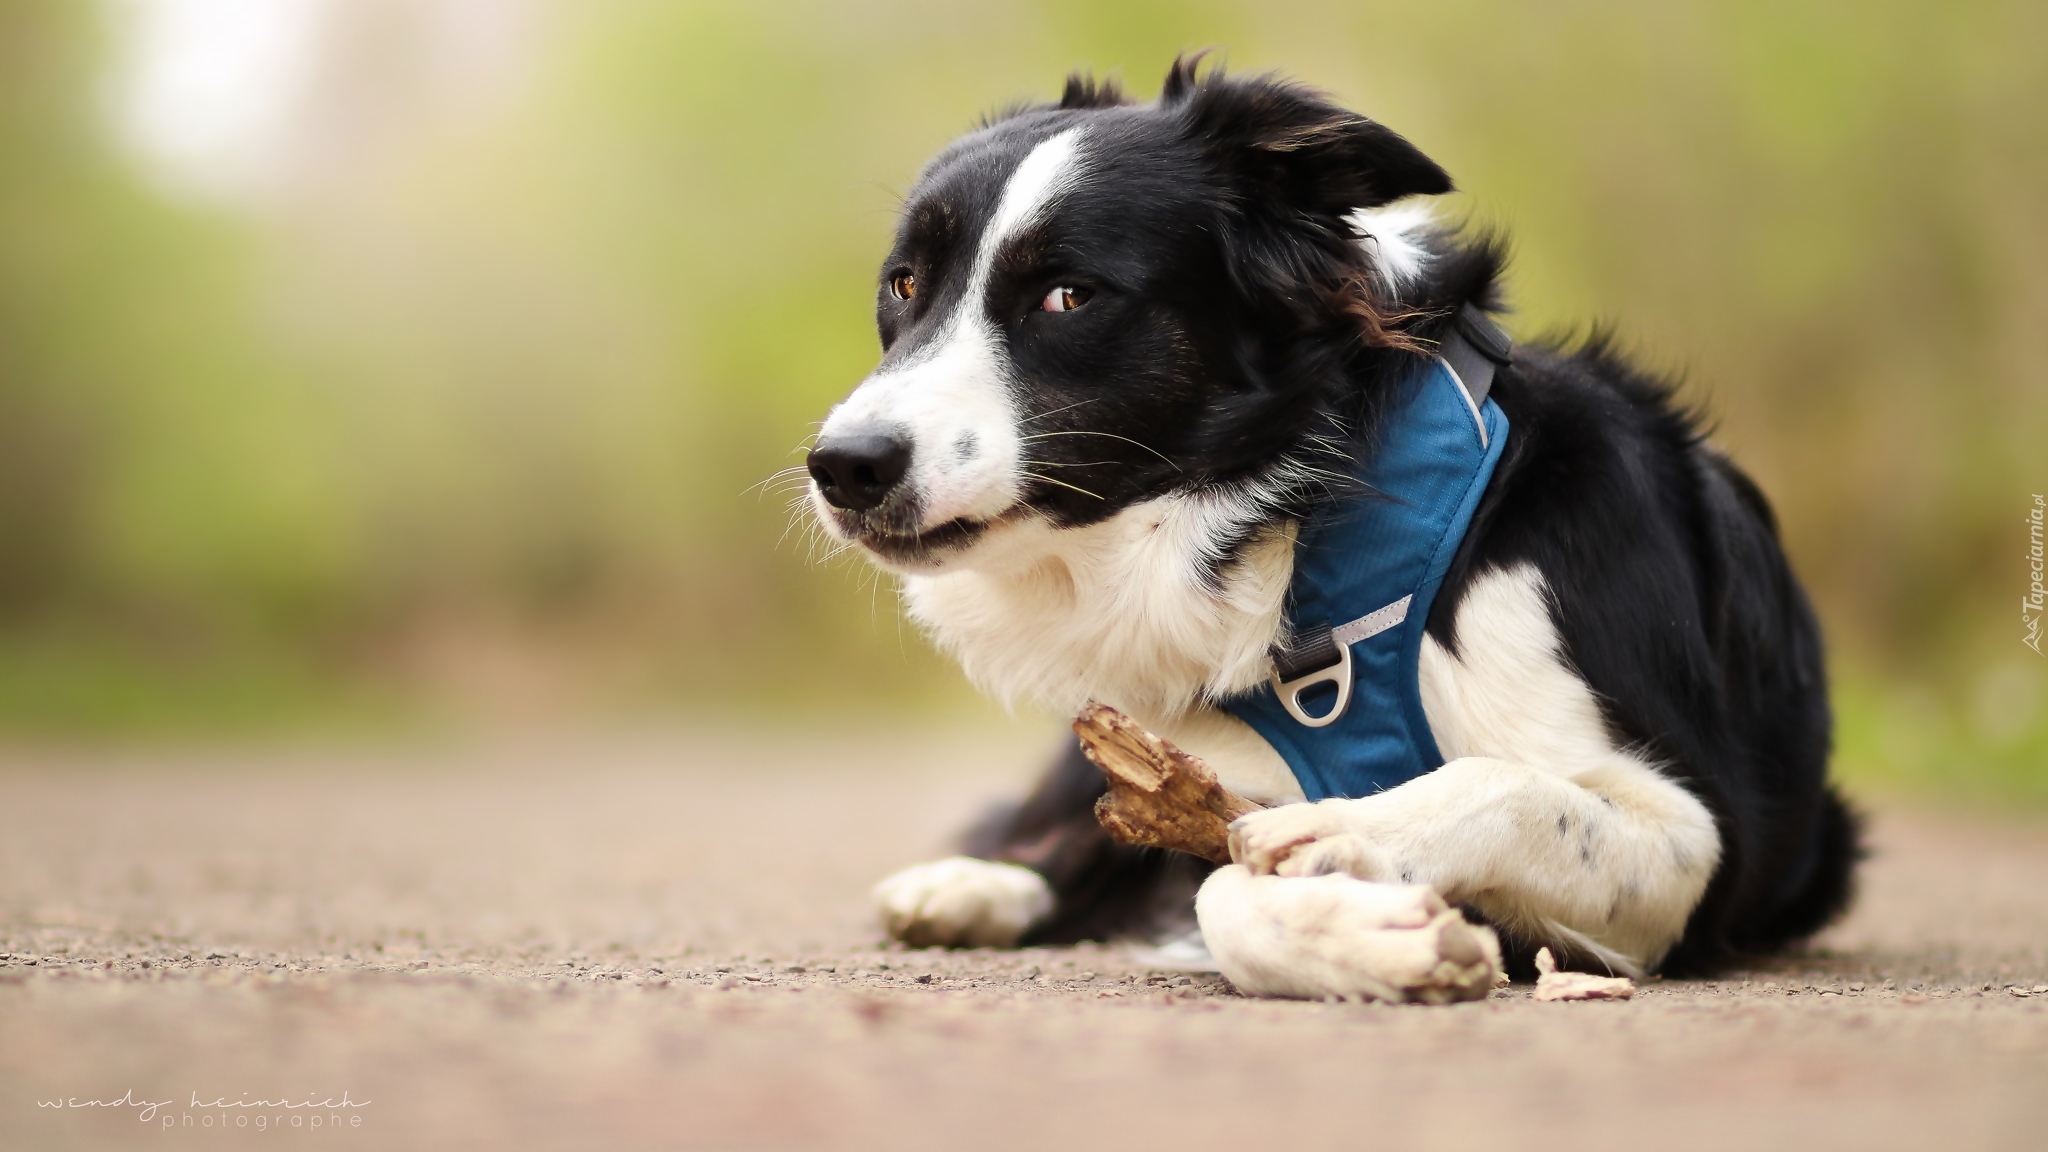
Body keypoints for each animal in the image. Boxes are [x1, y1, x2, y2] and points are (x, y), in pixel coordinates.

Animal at [798, 58, 1859, 983]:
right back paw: (972, 885)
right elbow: (1213, 883)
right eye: (904, 284)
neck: (1308, 520)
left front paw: (1356, 838)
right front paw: (1370, 934)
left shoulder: (1702, 843)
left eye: (1069, 295)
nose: (845, 466)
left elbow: (1503, 791)